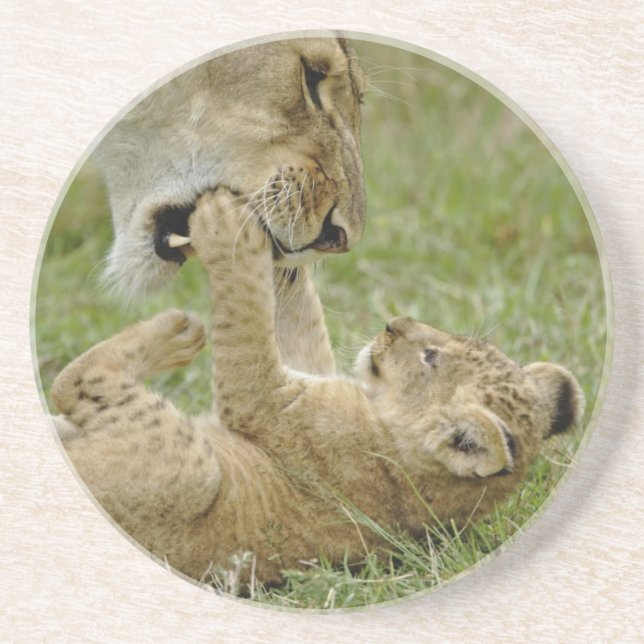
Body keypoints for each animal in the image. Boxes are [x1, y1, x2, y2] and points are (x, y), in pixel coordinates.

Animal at [52, 190, 585, 587]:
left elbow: (247, 323)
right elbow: (296, 315)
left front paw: (228, 225)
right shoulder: (309, 373)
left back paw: (178, 330)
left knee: (73, 383)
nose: (394, 324)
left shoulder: (267, 401)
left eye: (431, 357)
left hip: (190, 470)